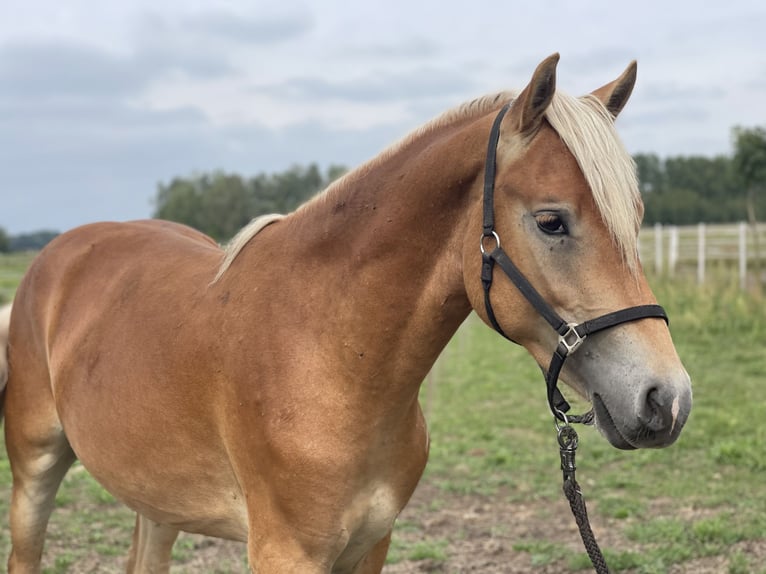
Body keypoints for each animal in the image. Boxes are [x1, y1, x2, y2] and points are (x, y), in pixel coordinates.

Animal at [1, 53, 696, 572]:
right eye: (552, 221)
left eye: (635, 219)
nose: (667, 399)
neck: (326, 356)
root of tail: (58, 255)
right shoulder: (285, 553)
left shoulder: (370, 544)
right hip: (35, 468)